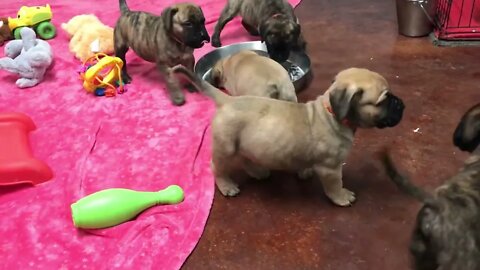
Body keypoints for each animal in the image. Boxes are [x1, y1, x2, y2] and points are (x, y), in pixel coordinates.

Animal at [173, 66, 404, 207]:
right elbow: (334, 185)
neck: (331, 114)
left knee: (246, 158)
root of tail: (227, 100)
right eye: (384, 100)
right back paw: (227, 186)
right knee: (217, 167)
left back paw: (258, 172)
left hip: (246, 143)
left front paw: (305, 172)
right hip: (226, 148)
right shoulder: (330, 168)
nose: (401, 104)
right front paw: (341, 197)